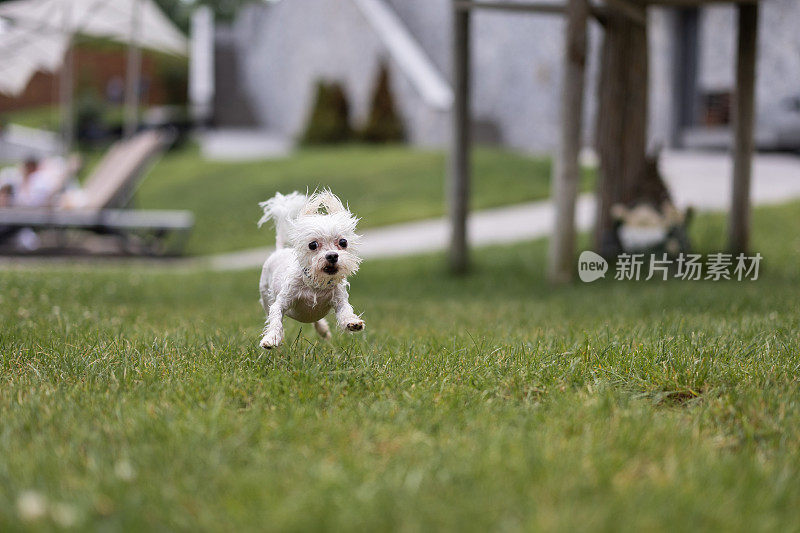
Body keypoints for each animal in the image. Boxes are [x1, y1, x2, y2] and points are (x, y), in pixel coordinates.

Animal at [258, 190, 364, 350]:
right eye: (313, 245)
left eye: (343, 242)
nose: (332, 255)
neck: (316, 284)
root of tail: (279, 250)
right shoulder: (281, 302)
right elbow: (275, 318)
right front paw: (272, 338)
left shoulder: (339, 300)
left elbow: (345, 311)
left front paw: (352, 322)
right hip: (265, 297)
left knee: (316, 320)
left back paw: (323, 330)